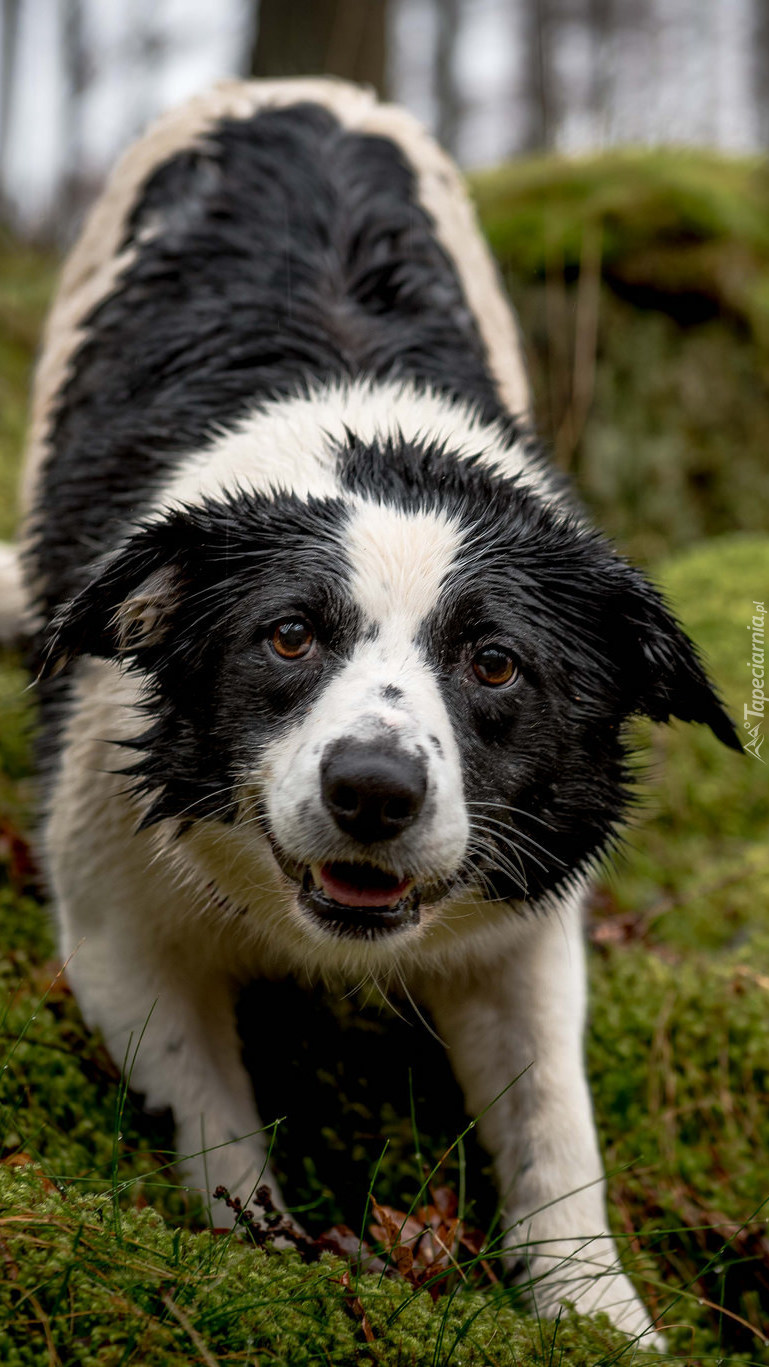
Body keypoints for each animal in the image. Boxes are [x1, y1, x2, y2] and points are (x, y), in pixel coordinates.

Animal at [13, 74, 737, 1334]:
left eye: (494, 664)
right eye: (288, 636)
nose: (373, 790)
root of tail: (292, 89)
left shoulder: (522, 932)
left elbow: (553, 1124)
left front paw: (601, 1315)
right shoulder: (116, 910)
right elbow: (207, 1105)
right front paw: (260, 1248)